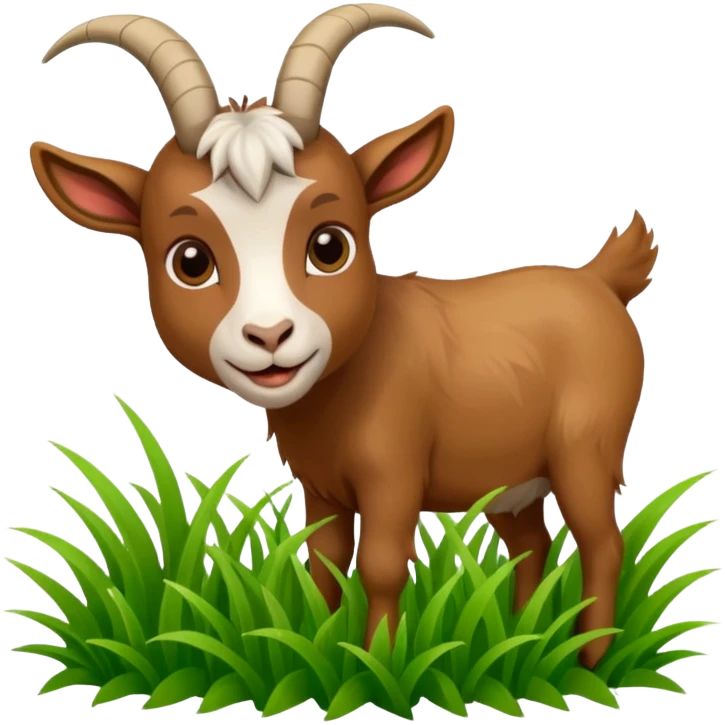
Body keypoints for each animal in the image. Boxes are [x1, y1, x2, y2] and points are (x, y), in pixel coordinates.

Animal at [29, 4, 658, 670]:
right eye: (190, 260)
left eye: (329, 245)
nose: (270, 334)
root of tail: (599, 279)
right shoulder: (322, 486)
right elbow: (324, 562)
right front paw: (323, 646)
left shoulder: (394, 474)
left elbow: (380, 566)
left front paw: (379, 661)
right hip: (509, 475)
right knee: (531, 542)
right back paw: (522, 638)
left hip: (586, 446)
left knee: (602, 542)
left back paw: (590, 657)